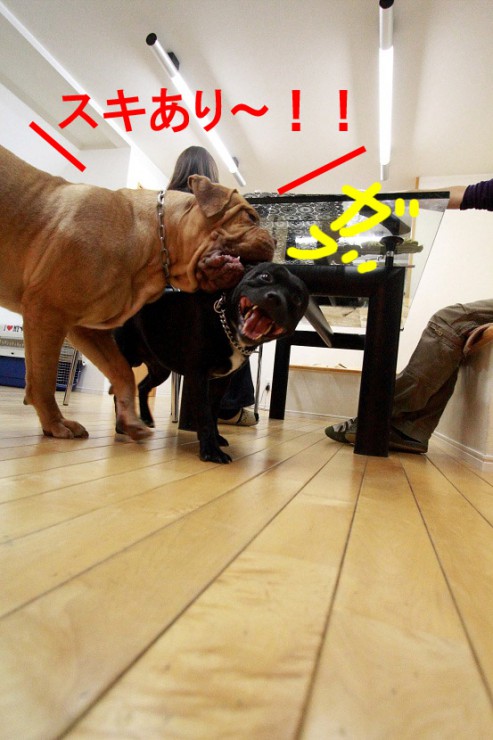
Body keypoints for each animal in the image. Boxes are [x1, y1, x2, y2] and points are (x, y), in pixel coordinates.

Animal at [0, 145, 275, 441]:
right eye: (250, 217)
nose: (274, 240)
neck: (155, 240)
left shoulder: (87, 328)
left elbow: (121, 372)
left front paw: (129, 419)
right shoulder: (48, 311)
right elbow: (43, 377)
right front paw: (55, 423)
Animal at [113, 263, 309, 463]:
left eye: (297, 299)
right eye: (265, 276)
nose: (275, 298)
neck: (227, 328)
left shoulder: (221, 382)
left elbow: (213, 412)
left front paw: (216, 438)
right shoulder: (198, 377)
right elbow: (205, 414)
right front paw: (211, 450)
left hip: (160, 370)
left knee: (143, 386)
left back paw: (145, 418)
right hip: (125, 357)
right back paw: (122, 426)